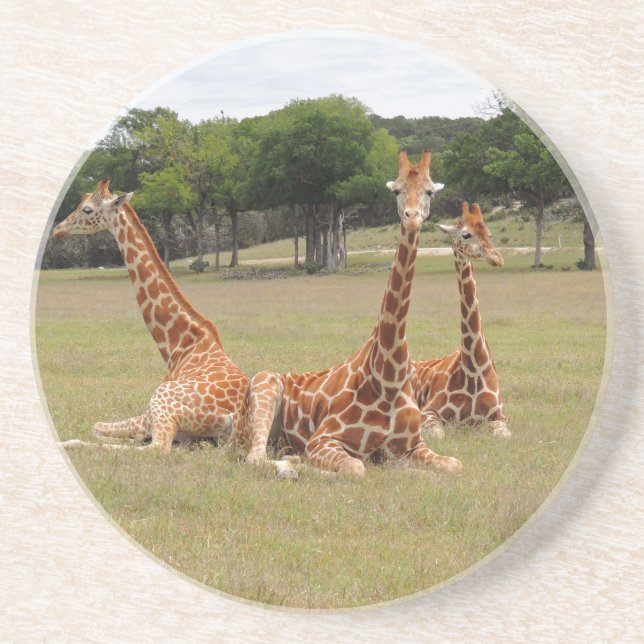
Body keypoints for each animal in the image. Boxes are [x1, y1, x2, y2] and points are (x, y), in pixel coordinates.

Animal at [51, 179, 256, 455]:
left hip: (162, 403)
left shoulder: (147, 415)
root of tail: (235, 417)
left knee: (156, 448)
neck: (178, 346)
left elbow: (96, 426)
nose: (58, 229)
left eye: (87, 209)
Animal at [241, 151, 462, 476]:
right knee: (255, 458)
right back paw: (292, 464)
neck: (388, 377)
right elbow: (356, 468)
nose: (411, 217)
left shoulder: (412, 445)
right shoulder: (322, 439)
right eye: (396, 190)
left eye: (429, 191)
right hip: (263, 387)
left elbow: (455, 465)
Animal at [410, 201, 511, 439]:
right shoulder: (428, 412)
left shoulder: (500, 416)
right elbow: (439, 435)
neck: (474, 369)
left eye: (488, 232)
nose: (497, 258)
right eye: (466, 234)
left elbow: (503, 436)